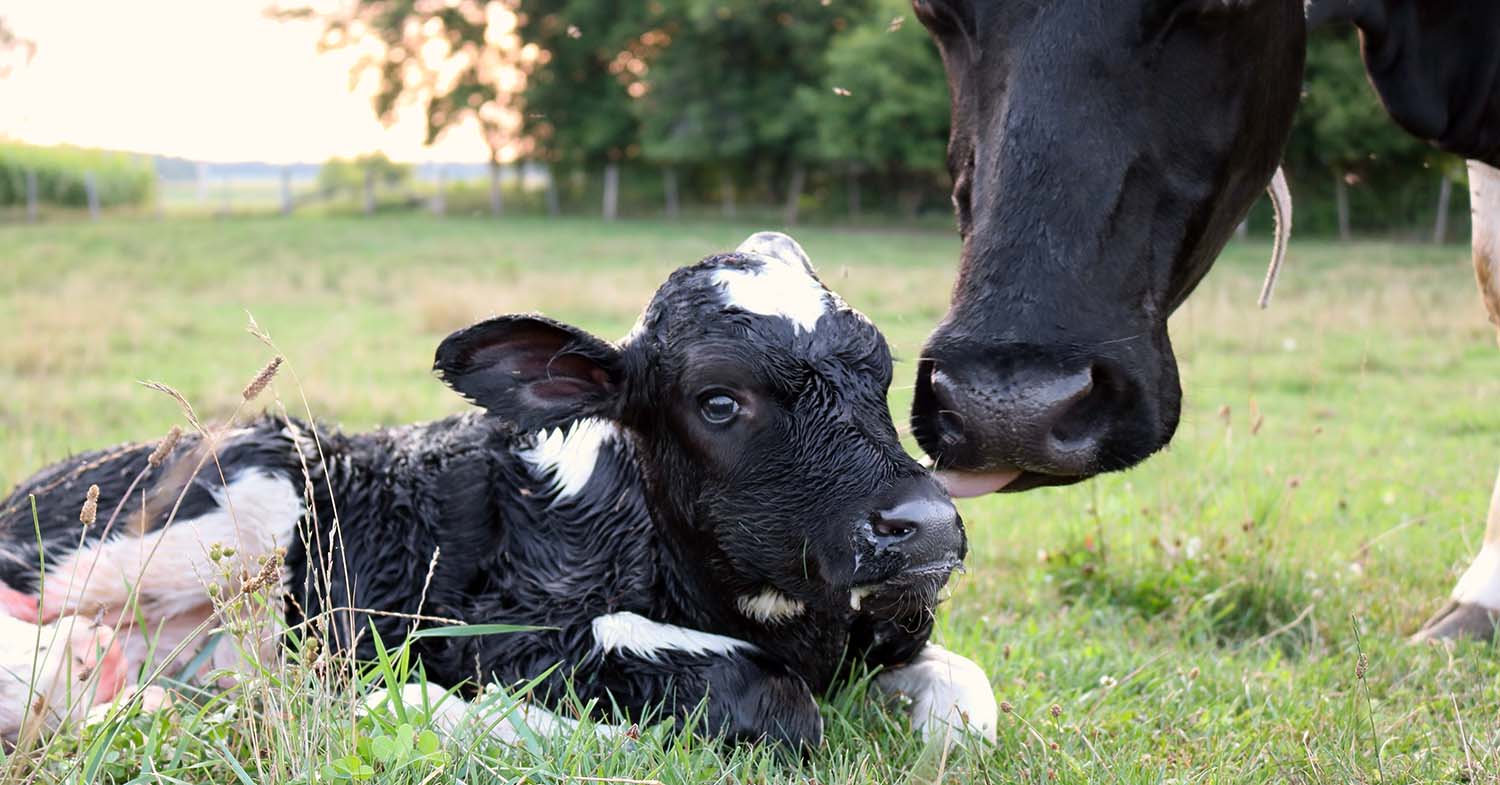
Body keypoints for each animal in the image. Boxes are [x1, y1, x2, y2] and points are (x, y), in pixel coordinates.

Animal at [2, 234, 1008, 750]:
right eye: (720, 400)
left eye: (881, 373)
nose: (926, 525)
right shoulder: (513, 629)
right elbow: (757, 698)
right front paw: (420, 707)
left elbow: (967, 706)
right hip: (223, 493)